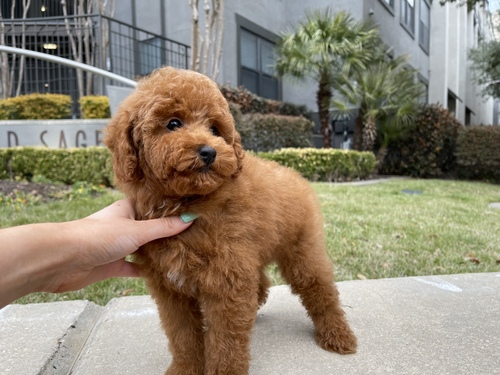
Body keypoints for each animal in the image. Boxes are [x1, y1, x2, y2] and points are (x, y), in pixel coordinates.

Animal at [104, 66, 356, 374]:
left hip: (302, 251)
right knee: (262, 283)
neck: (186, 201)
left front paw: (224, 369)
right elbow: (182, 334)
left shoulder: (227, 283)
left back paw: (338, 335)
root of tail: (295, 175)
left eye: (215, 129)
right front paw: (185, 368)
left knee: (320, 289)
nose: (208, 151)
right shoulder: (171, 289)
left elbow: (226, 340)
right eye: (173, 123)